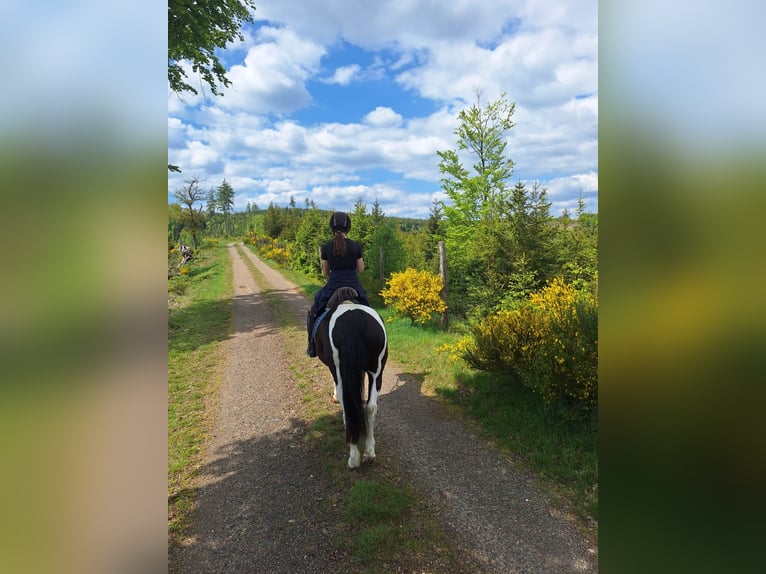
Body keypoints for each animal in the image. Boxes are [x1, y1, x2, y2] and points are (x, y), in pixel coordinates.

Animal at [314, 290, 390, 470]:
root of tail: (353, 322)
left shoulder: (335, 370)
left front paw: (334, 396)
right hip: (377, 372)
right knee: (370, 407)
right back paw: (369, 453)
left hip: (340, 370)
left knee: (347, 406)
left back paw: (353, 459)